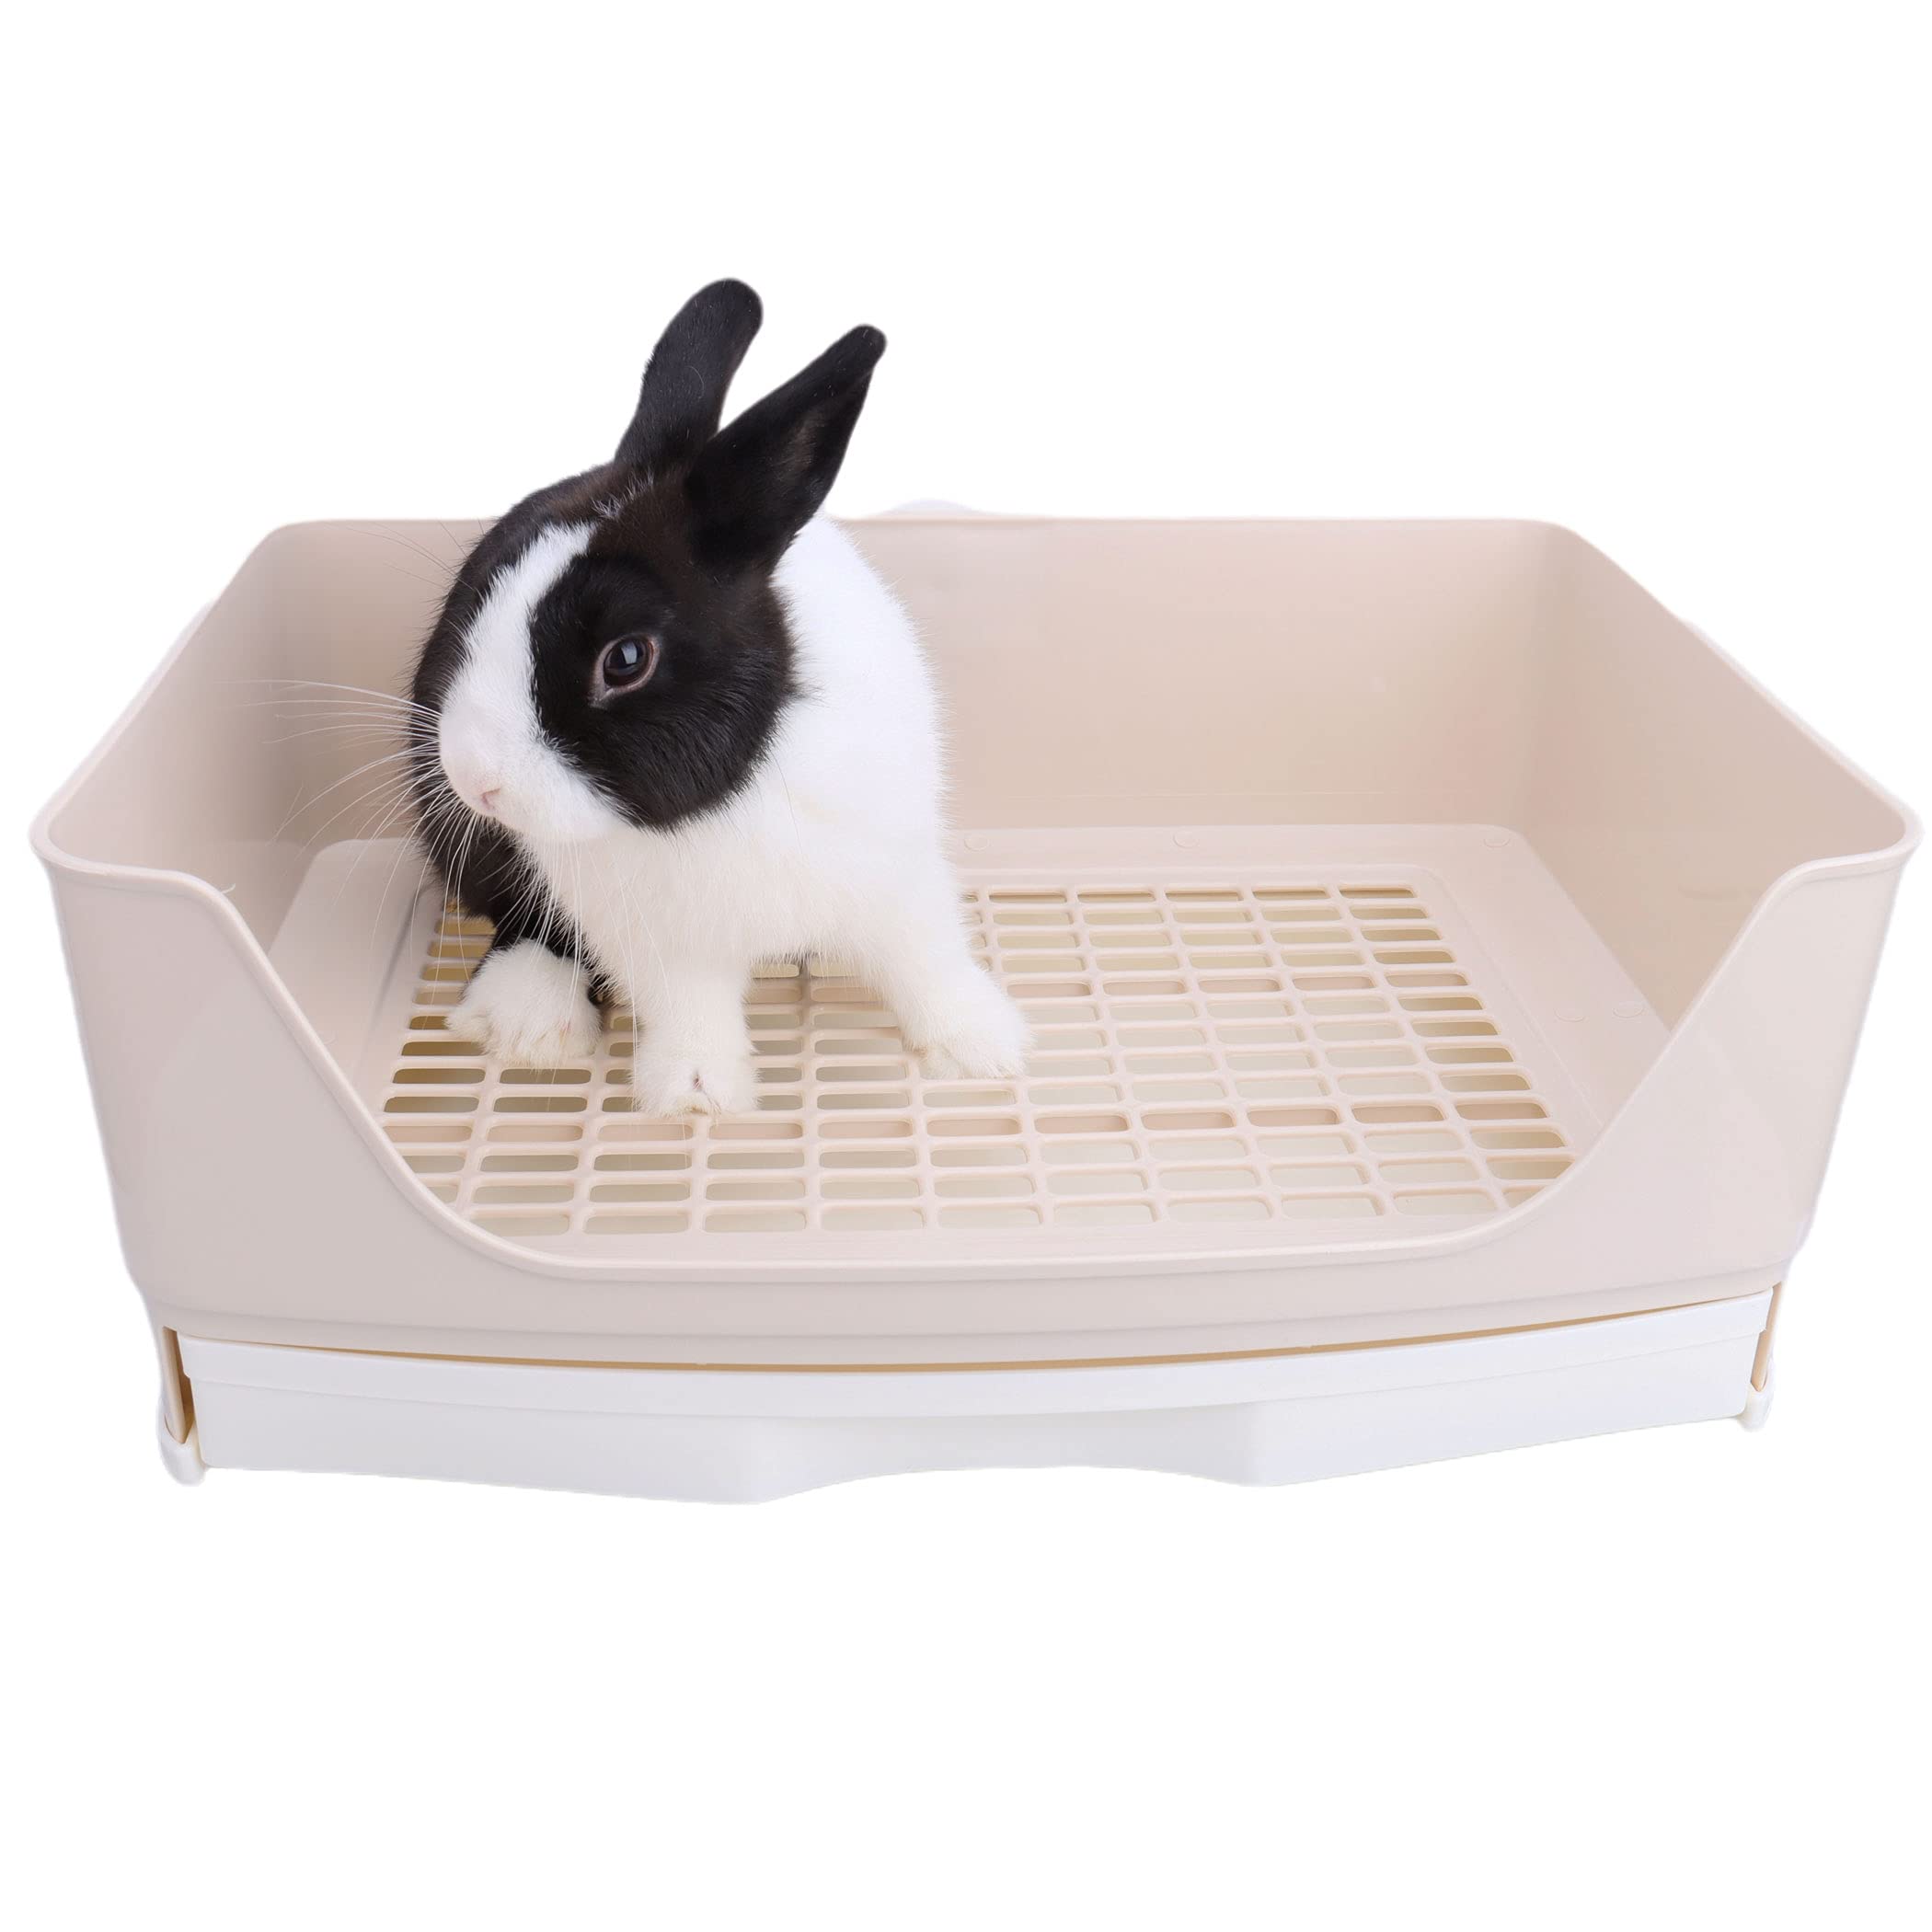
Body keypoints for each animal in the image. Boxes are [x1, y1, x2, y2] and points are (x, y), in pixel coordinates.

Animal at [407, 279, 1029, 1117]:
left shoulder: (896, 874)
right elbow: (690, 1007)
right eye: (479, 590)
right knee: (525, 921)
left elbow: (927, 958)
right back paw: (533, 1025)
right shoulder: (658, 941)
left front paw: (981, 1050)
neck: (722, 803)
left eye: (626, 659)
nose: (474, 780)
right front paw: (698, 1097)